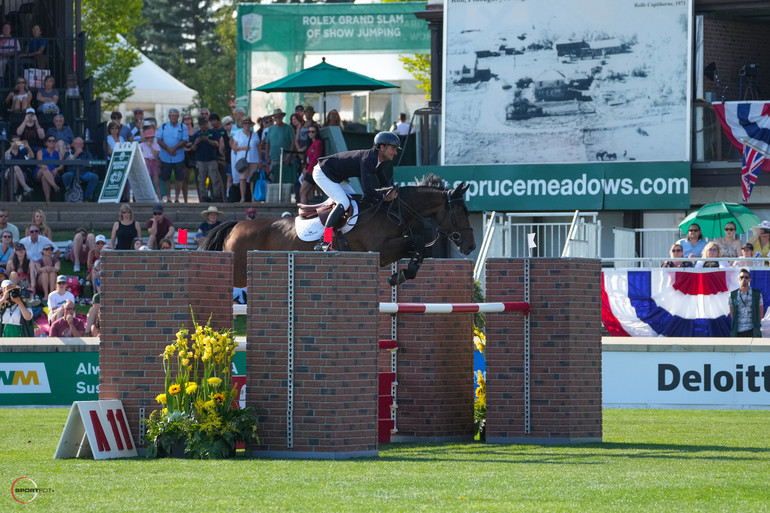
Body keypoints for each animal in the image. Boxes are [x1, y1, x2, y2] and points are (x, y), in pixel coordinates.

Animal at [198, 174, 474, 286]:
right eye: (461, 211)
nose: (470, 245)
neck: (392, 209)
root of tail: (235, 225)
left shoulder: (389, 251)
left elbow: (418, 246)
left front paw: (406, 272)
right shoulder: (381, 251)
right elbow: (415, 240)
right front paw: (404, 274)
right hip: (238, 272)